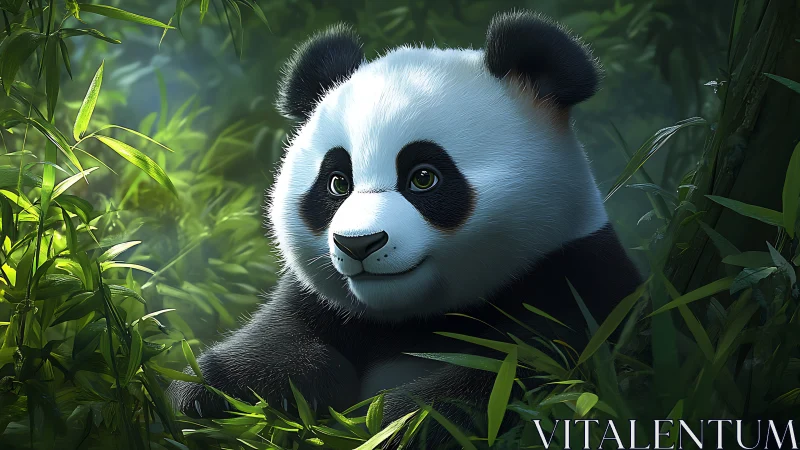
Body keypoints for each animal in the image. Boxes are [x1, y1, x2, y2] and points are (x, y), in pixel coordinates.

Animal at [169, 9, 642, 445]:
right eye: (337, 182)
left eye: (424, 177)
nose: (358, 244)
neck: (411, 320)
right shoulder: (319, 305)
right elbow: (273, 345)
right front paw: (206, 393)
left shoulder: (573, 284)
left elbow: (513, 372)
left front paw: (397, 421)